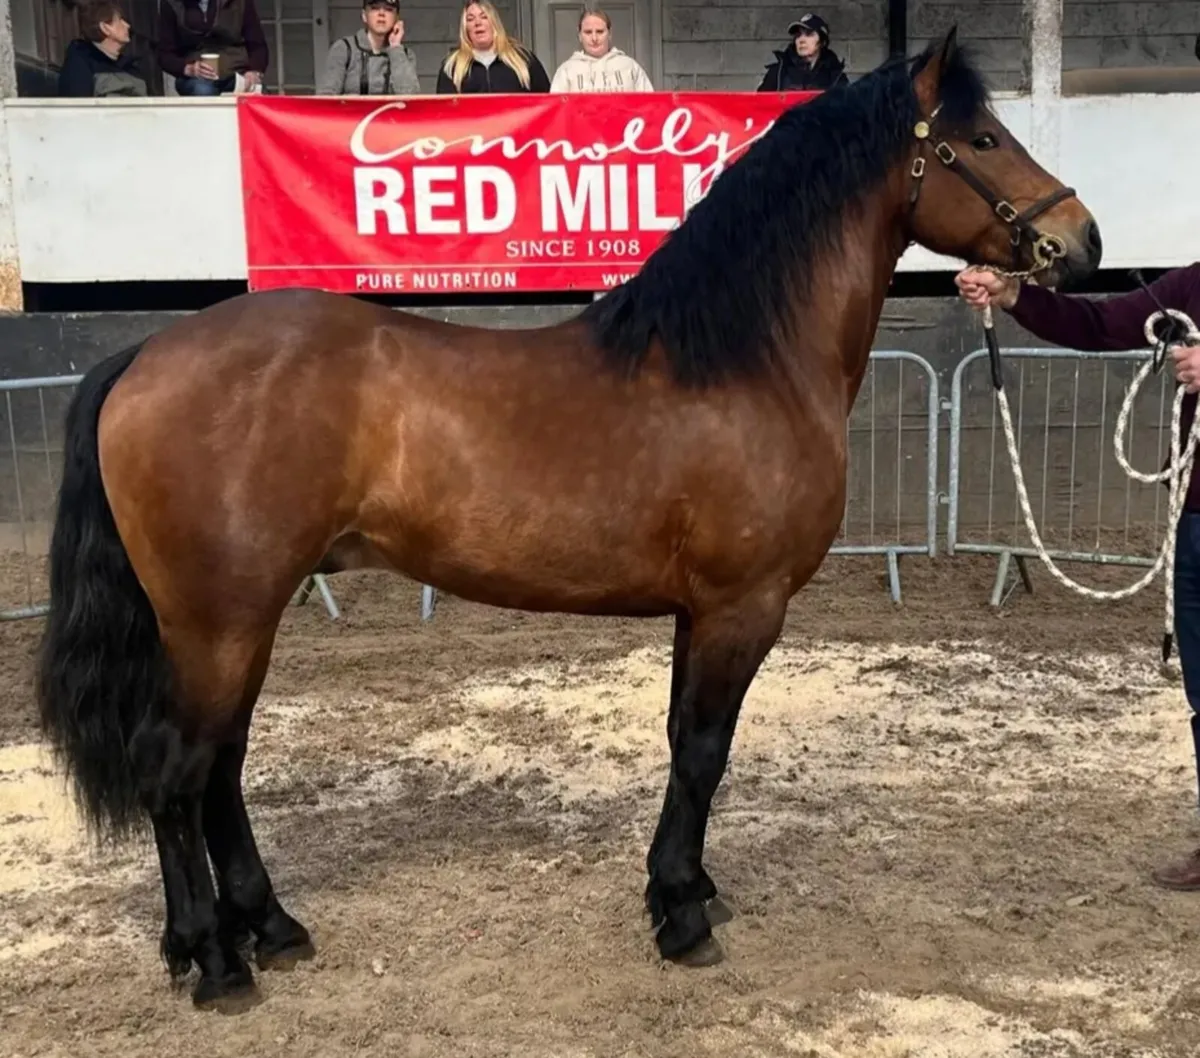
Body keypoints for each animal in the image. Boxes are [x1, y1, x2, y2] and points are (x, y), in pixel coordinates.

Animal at [34, 27, 1101, 1010]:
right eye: (983, 137)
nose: (1084, 241)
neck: (744, 360)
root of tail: (147, 353)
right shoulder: (742, 607)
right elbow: (704, 753)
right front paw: (680, 917)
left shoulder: (698, 612)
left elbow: (681, 741)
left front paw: (689, 890)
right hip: (218, 622)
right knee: (178, 775)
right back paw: (214, 962)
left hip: (240, 622)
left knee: (221, 770)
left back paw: (272, 927)